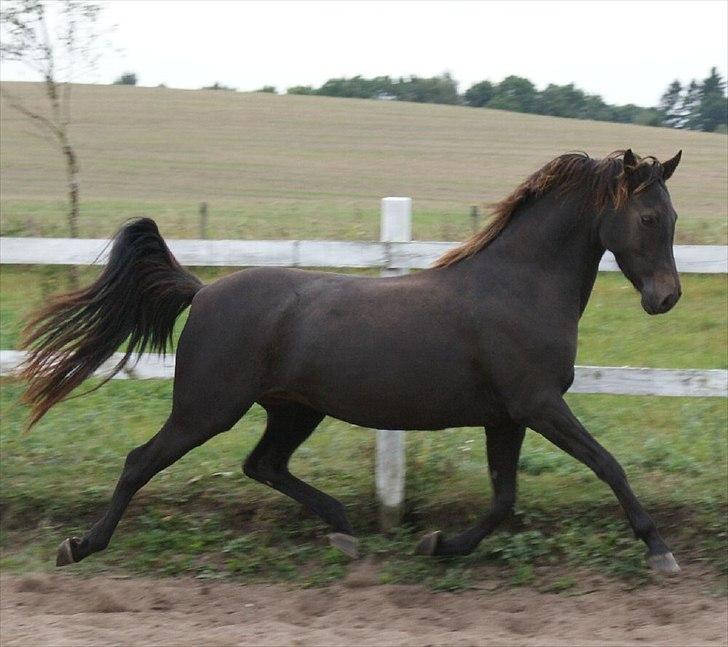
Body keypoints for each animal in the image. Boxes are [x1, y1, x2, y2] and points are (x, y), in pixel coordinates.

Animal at [19, 148, 684, 574]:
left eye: (674, 217)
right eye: (649, 216)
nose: (665, 298)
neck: (519, 286)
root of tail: (202, 291)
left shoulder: (507, 416)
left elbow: (504, 499)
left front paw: (438, 544)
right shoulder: (539, 405)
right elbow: (608, 465)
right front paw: (659, 551)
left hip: (293, 410)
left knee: (263, 464)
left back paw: (343, 530)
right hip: (207, 408)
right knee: (143, 461)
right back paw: (80, 546)